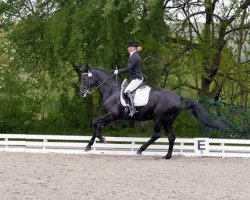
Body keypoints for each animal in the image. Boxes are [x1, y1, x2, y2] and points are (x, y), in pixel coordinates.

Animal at [79, 65, 227, 159]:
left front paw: (101, 139)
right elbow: (97, 126)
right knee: (171, 137)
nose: (81, 93)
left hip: (158, 117)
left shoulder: (113, 115)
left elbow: (95, 123)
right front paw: (90, 145)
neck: (112, 90)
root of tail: (178, 97)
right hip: (168, 120)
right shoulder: (110, 117)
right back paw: (167, 156)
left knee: (156, 135)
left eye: (84, 78)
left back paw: (140, 150)